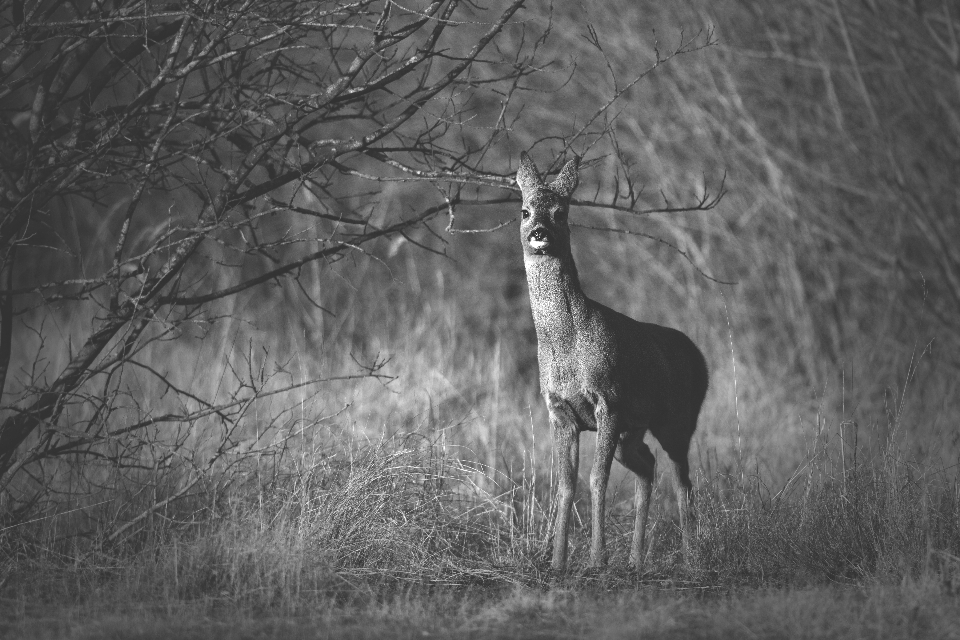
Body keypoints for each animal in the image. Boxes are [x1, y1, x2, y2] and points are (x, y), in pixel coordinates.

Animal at [516, 152, 712, 572]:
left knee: (683, 479)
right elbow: (566, 483)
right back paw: (637, 560)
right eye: (525, 210)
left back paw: (692, 557)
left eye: (560, 212)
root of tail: (699, 355)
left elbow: (595, 479)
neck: (567, 347)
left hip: (678, 419)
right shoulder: (560, 411)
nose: (539, 232)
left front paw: (597, 559)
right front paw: (558, 562)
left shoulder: (608, 399)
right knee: (648, 466)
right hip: (633, 433)